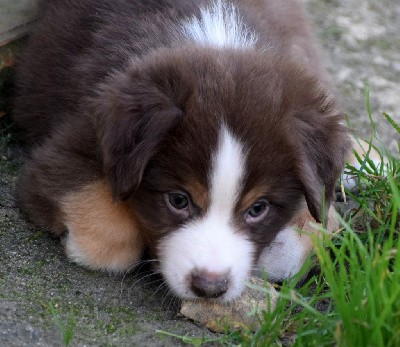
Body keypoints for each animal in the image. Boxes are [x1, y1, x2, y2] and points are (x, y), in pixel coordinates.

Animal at [13, 0, 350, 302]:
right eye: (178, 200)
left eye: (258, 208)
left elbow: (312, 227)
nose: (210, 287)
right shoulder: (68, 148)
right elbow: (108, 238)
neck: (216, 38)